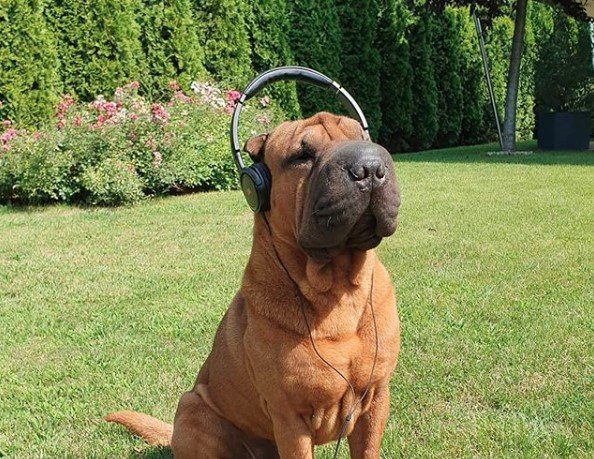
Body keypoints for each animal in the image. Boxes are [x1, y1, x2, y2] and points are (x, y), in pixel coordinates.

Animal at [107, 112, 402, 459]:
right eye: (302, 155)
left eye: (363, 137)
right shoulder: (290, 417)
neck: (337, 292)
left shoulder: (376, 398)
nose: (369, 167)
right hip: (194, 409)